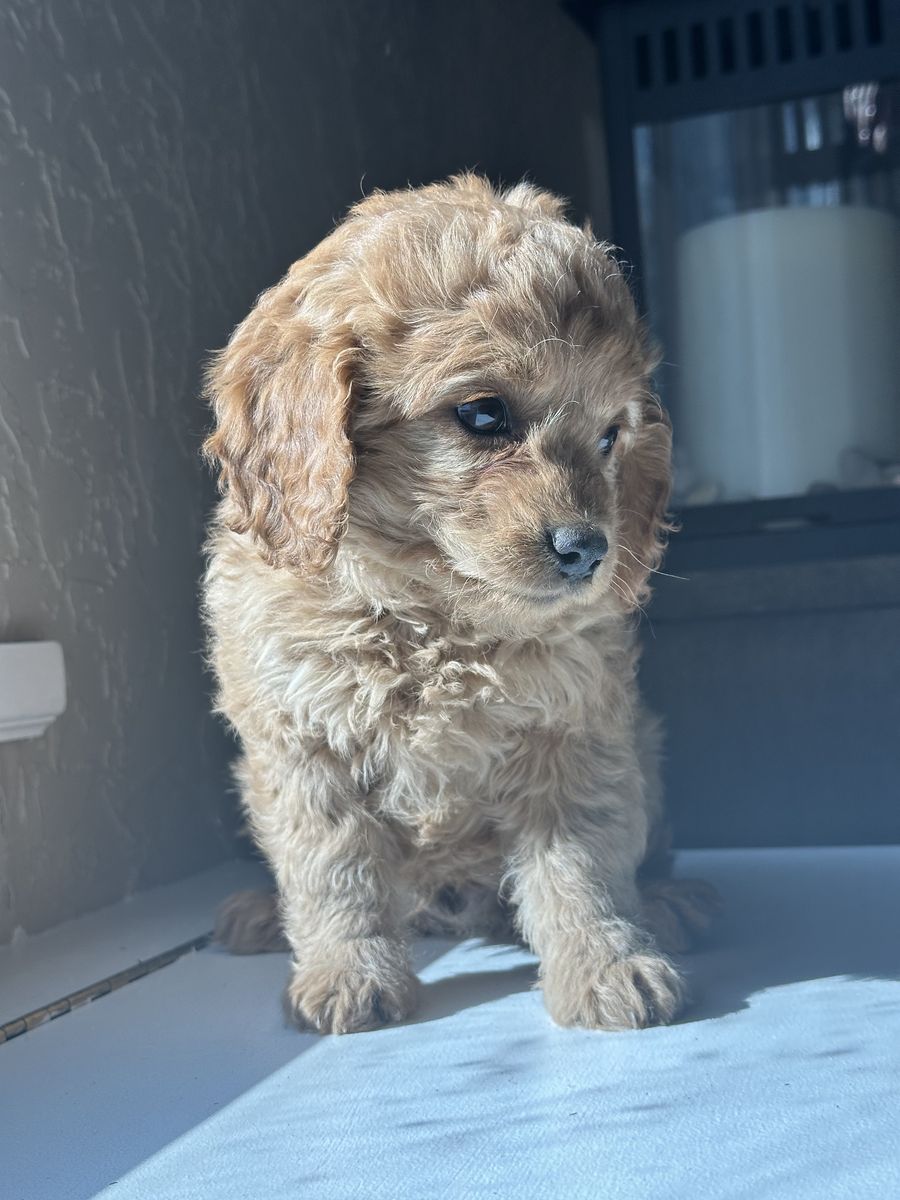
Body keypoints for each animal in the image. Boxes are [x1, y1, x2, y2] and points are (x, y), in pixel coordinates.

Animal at [202, 175, 719, 1035]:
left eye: (609, 438)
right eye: (483, 414)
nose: (589, 551)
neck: (435, 615)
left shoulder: (573, 730)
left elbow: (582, 866)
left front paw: (608, 965)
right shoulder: (301, 742)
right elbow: (333, 871)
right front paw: (347, 972)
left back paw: (673, 902)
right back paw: (256, 913)